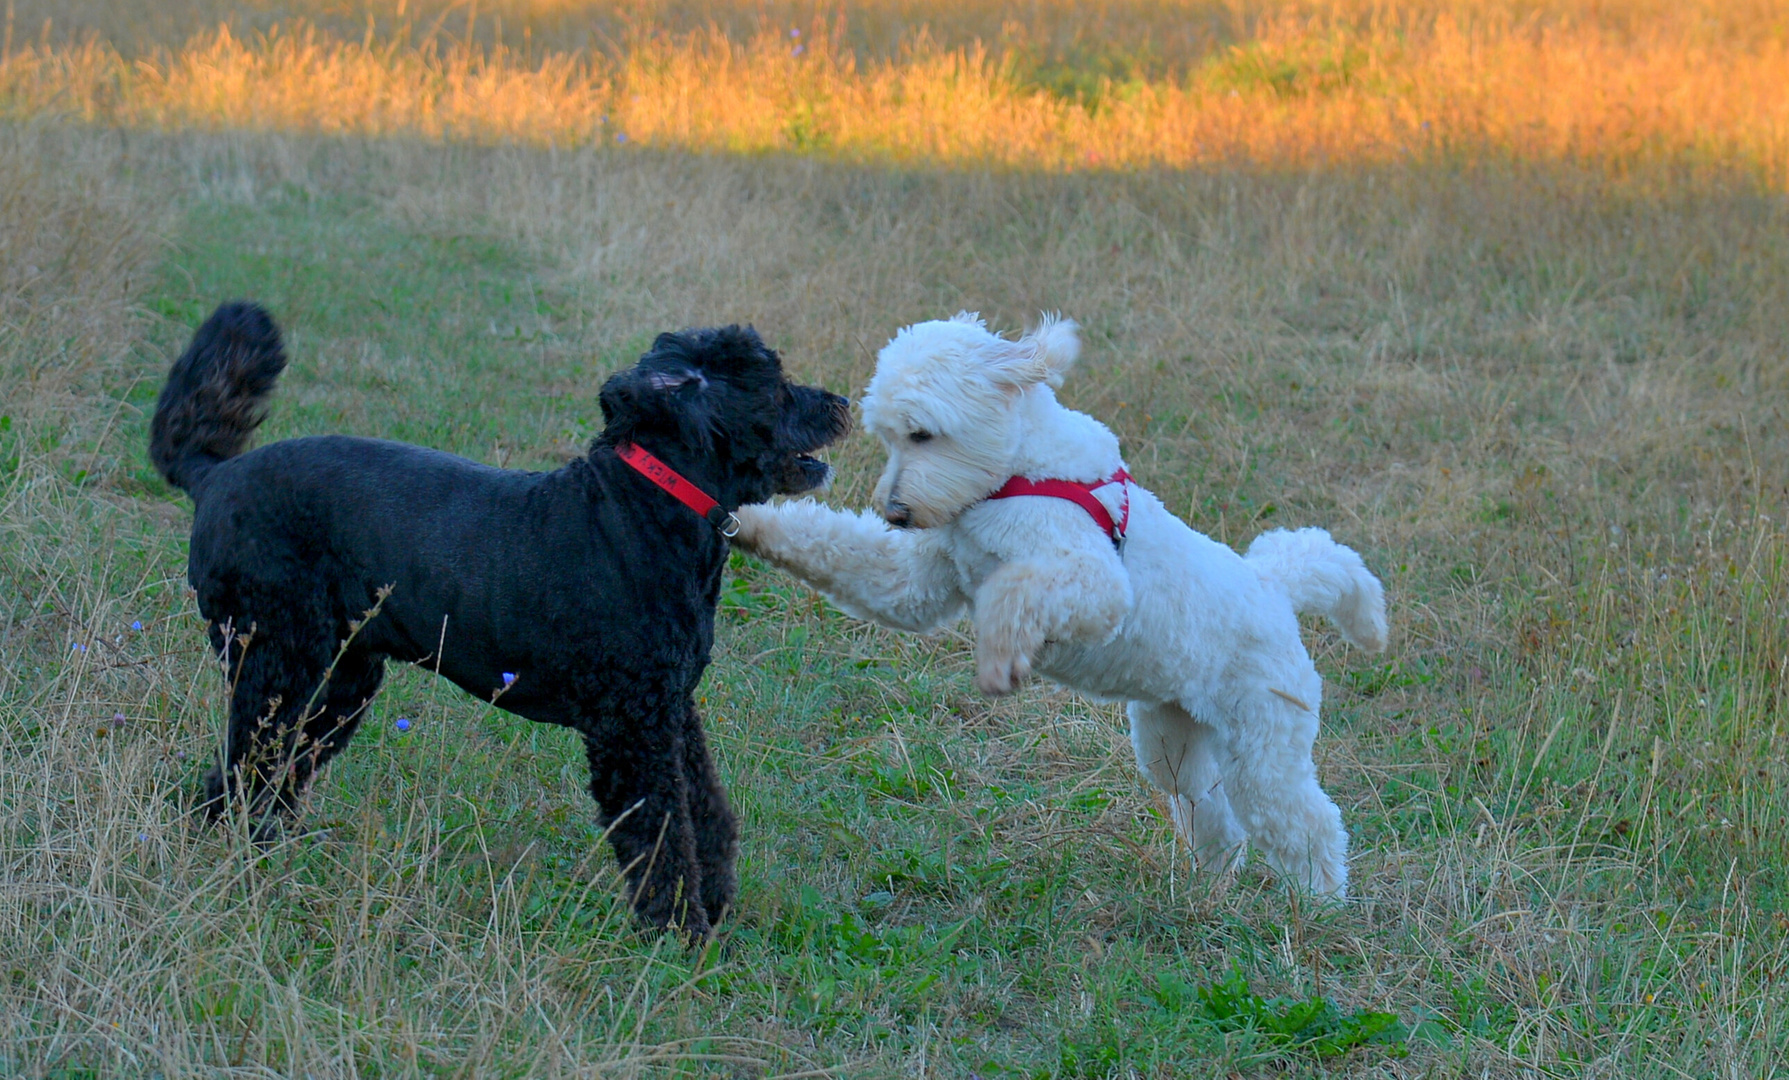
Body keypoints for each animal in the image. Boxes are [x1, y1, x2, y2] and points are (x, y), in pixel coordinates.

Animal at [150, 303, 847, 936]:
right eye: (775, 383)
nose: (839, 401)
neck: (648, 506)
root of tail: (214, 475)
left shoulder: (672, 709)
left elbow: (706, 812)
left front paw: (716, 905)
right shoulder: (632, 726)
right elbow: (661, 831)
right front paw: (680, 931)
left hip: (338, 683)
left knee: (266, 770)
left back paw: (266, 849)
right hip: (277, 662)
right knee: (245, 767)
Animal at [733, 312, 1388, 894]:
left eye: (923, 433)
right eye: (889, 436)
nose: (895, 513)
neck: (1012, 474)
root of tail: (1273, 589)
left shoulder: (1097, 582)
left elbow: (1012, 588)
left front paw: (1001, 655)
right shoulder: (915, 579)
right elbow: (834, 546)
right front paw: (748, 522)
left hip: (1264, 744)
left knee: (1308, 825)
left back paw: (1317, 908)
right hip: (1171, 740)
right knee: (1213, 814)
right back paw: (1213, 889)